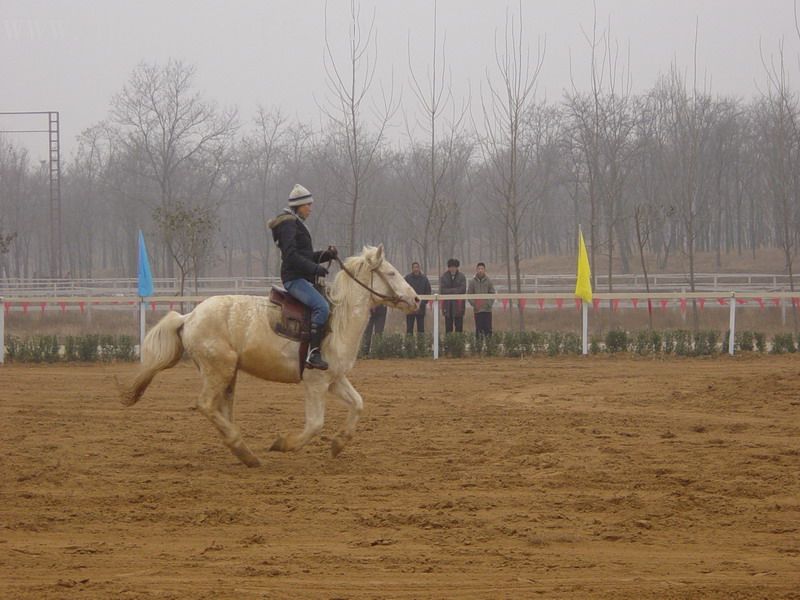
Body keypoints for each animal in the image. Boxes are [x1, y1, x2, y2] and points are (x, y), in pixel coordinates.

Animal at [120, 245, 418, 468]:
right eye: (391, 272)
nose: (415, 299)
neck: (338, 321)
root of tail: (189, 316)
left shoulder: (335, 380)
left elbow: (358, 404)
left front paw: (337, 444)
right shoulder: (316, 383)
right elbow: (315, 424)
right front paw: (283, 444)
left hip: (229, 374)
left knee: (222, 409)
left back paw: (242, 451)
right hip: (218, 370)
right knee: (206, 405)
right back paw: (244, 450)